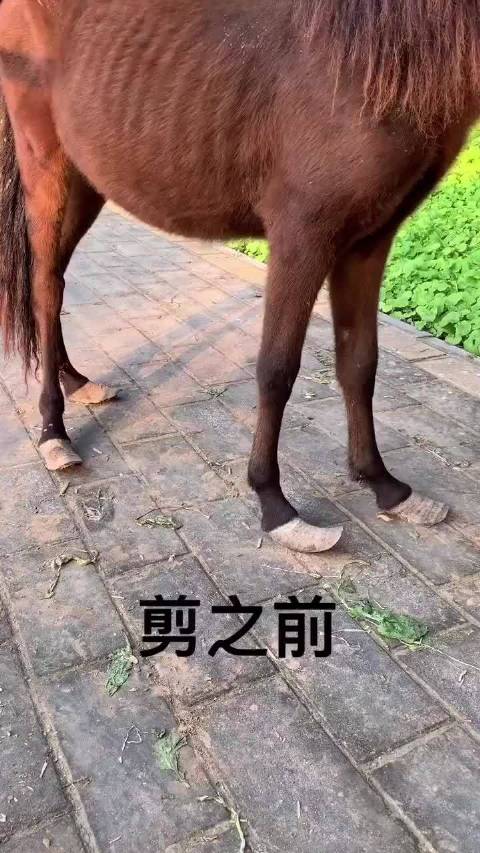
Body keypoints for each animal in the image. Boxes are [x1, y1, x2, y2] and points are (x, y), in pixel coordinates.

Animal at [0, 0, 478, 555]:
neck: (373, 66)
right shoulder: (301, 236)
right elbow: (276, 368)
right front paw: (275, 505)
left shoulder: (369, 242)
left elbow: (359, 363)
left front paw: (384, 485)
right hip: (46, 164)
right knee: (44, 289)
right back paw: (54, 431)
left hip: (86, 181)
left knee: (54, 283)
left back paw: (78, 383)